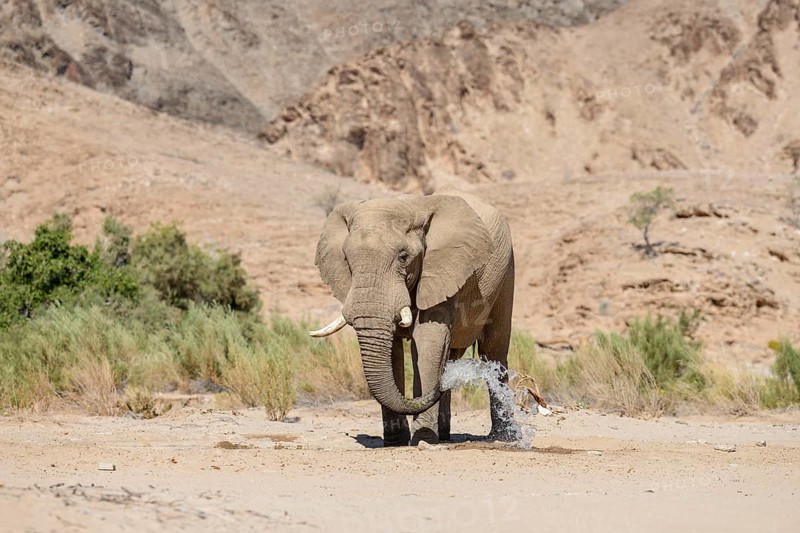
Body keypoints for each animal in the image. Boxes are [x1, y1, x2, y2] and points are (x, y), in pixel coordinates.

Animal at [309, 186, 515, 446]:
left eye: (403, 256)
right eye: (346, 258)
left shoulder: (440, 270)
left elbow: (428, 342)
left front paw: (423, 439)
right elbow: (393, 351)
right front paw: (396, 442)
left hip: (506, 271)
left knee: (494, 350)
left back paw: (502, 438)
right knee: (452, 356)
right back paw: (444, 435)